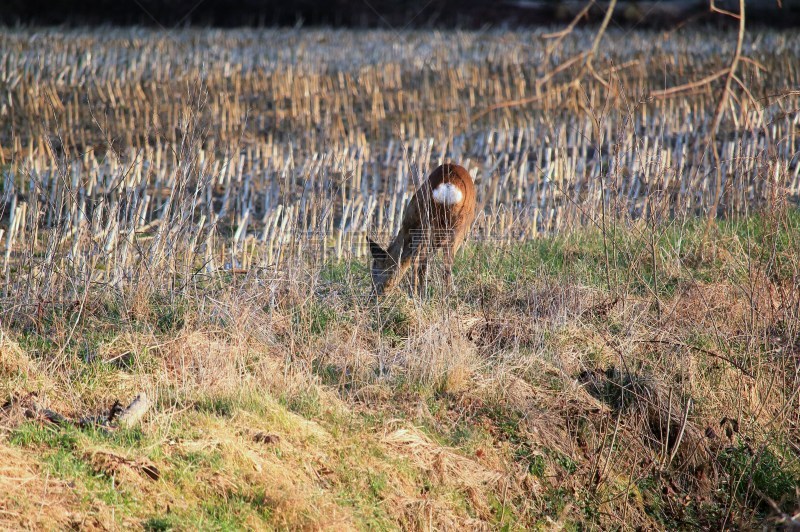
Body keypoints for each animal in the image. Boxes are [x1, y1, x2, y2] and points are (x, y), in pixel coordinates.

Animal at [368, 162, 476, 296]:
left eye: (375, 271)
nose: (374, 294)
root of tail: (448, 186)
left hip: (432, 224)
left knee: (425, 260)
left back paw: (419, 293)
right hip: (451, 225)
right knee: (436, 261)